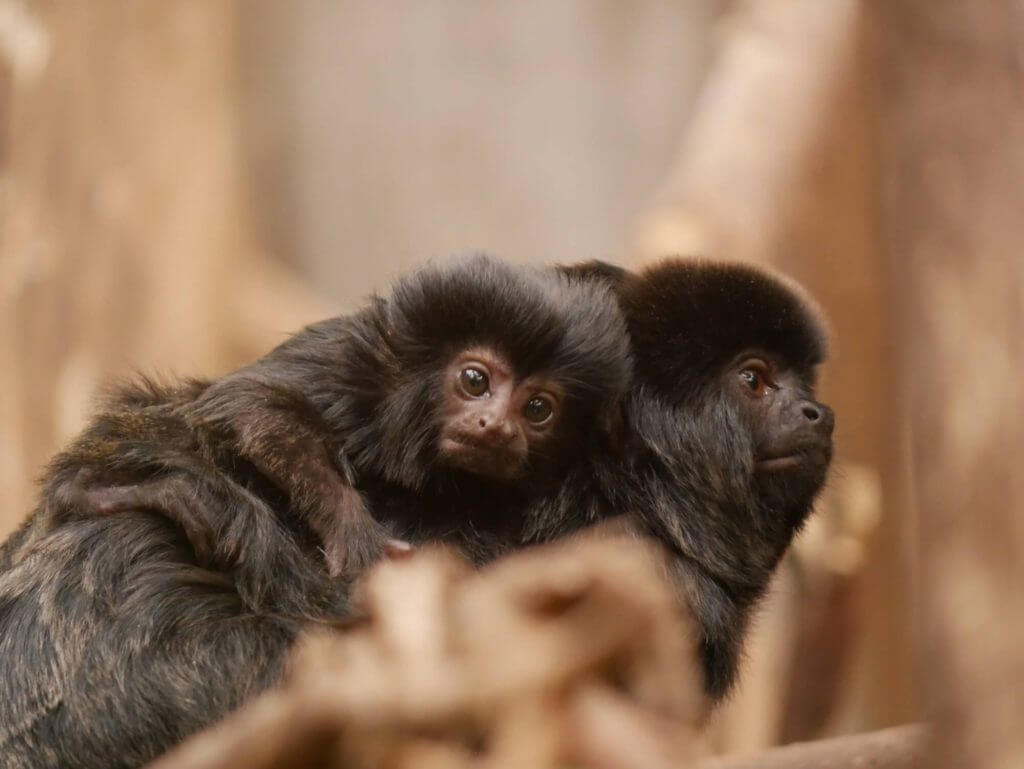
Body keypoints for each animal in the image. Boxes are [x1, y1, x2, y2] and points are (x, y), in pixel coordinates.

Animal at [39, 252, 630, 581]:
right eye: (475, 380)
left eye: (538, 409)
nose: (496, 427)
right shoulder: (352, 366)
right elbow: (247, 401)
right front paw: (352, 529)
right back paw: (99, 490)